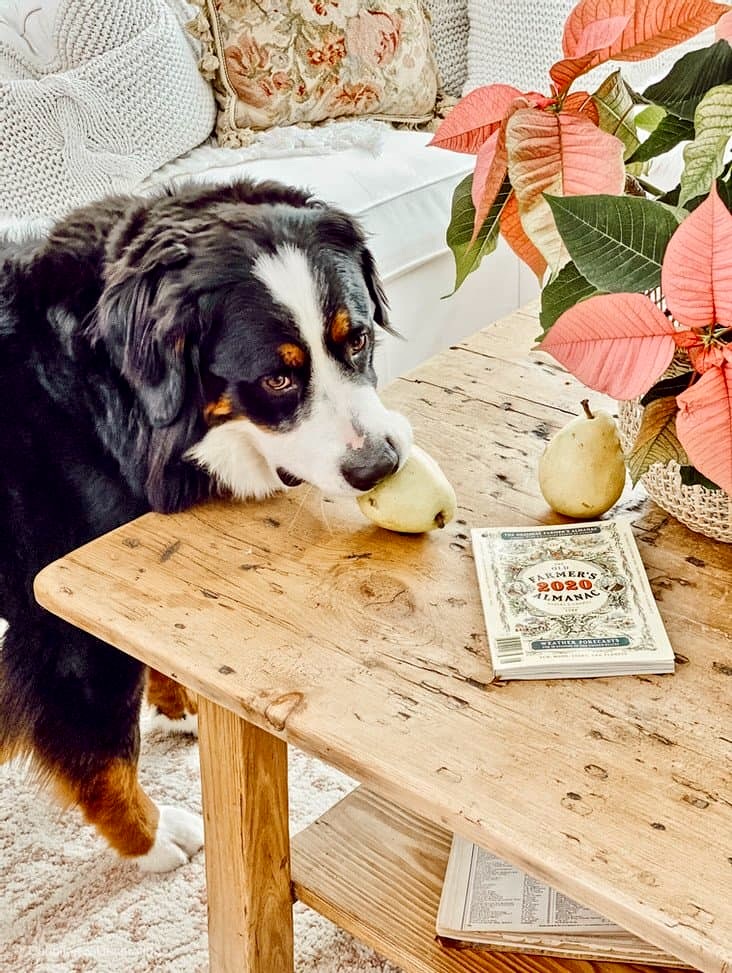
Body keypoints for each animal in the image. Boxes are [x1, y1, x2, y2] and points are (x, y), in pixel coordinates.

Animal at [0, 178, 412, 868]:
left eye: (356, 340)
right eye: (278, 378)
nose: (377, 466)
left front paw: (181, 703)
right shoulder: (59, 625)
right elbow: (104, 749)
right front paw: (151, 838)